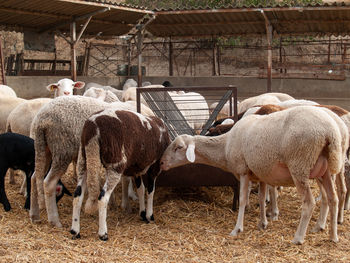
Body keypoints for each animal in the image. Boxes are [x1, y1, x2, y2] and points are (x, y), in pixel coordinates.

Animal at [29, 96, 155, 228]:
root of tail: (41, 121)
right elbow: (126, 180)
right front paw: (126, 205)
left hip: (44, 149)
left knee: (34, 177)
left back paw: (34, 214)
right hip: (62, 149)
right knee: (49, 183)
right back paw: (54, 220)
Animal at [69, 109, 170, 241]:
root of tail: (93, 127)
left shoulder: (136, 168)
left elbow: (141, 189)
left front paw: (142, 213)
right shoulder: (155, 166)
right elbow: (150, 191)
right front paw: (149, 216)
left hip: (84, 159)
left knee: (77, 195)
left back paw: (75, 231)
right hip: (115, 163)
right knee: (102, 197)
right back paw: (103, 233)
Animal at [160, 105, 348, 245]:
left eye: (178, 147)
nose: (161, 163)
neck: (225, 145)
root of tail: (331, 132)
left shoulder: (243, 172)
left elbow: (243, 200)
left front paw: (237, 229)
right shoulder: (260, 173)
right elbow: (262, 198)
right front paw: (262, 223)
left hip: (300, 166)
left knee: (309, 202)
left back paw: (298, 238)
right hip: (325, 170)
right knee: (333, 199)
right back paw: (332, 236)